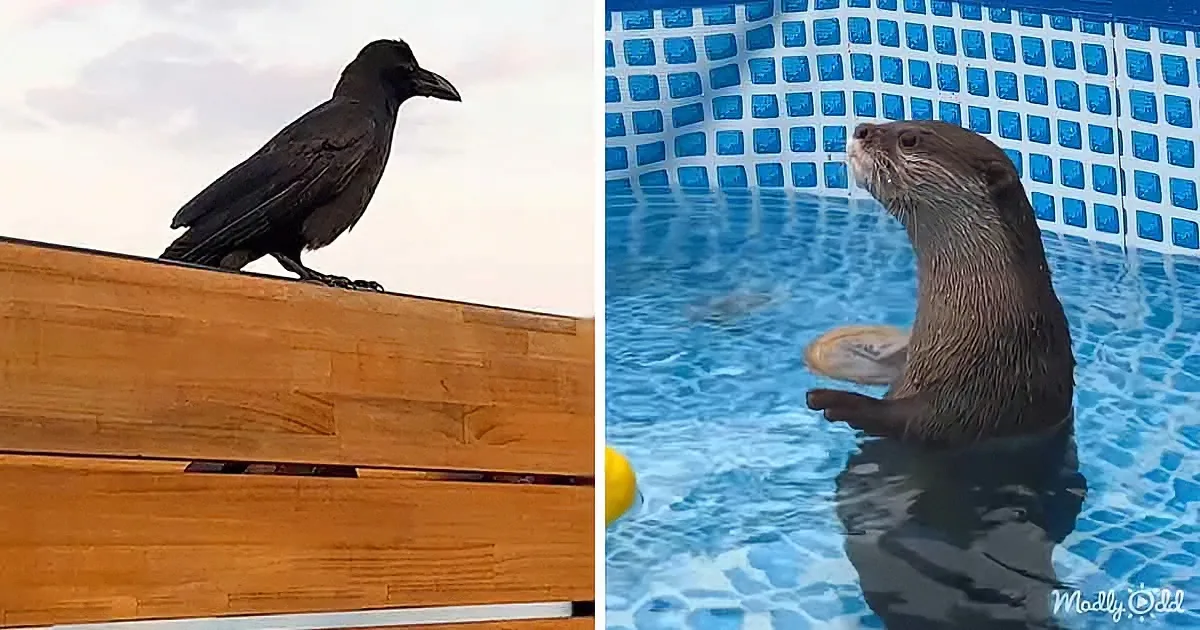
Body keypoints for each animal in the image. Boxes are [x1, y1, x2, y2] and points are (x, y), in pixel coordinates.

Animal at [809, 121, 1088, 629]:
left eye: (909, 138)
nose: (860, 127)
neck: (989, 319)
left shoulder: (991, 383)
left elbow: (921, 424)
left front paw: (837, 402)